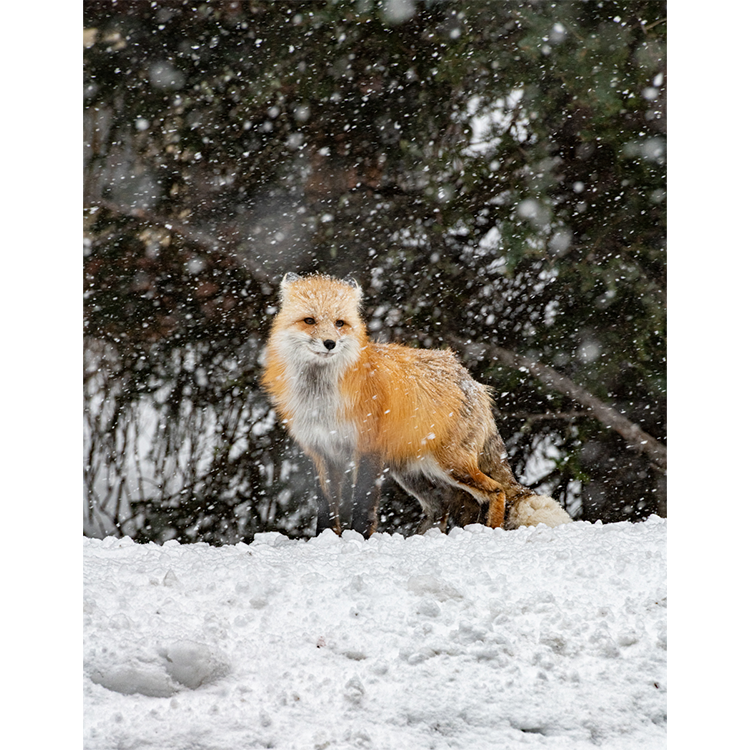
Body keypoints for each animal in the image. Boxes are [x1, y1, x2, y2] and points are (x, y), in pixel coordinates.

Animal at [260, 273, 572, 536]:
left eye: (339, 323)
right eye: (309, 321)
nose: (329, 343)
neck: (321, 400)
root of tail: (472, 381)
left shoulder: (368, 449)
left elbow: (362, 507)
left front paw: (359, 539)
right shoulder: (322, 452)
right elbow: (326, 509)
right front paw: (325, 540)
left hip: (450, 465)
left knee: (496, 491)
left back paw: (490, 532)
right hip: (412, 473)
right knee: (442, 506)